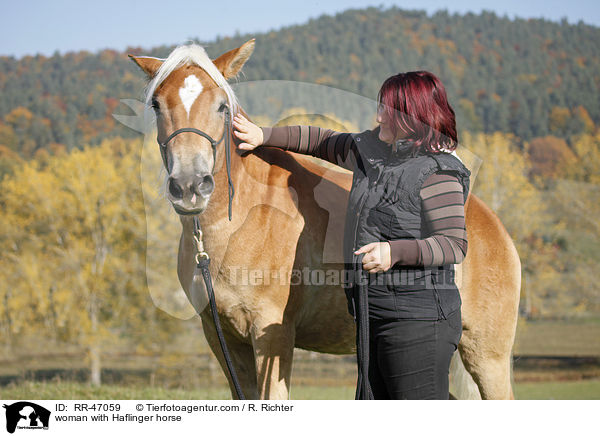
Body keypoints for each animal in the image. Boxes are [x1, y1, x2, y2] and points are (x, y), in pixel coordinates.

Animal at [130, 39, 520, 400]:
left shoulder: (272, 335)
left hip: (487, 357)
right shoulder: (221, 335)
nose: (190, 185)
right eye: (156, 104)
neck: (236, 227)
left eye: (221, 106)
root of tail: (494, 226)